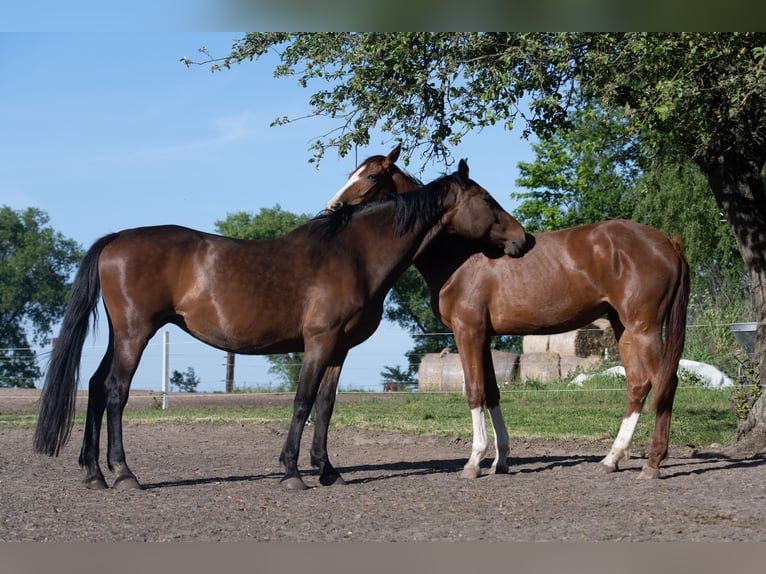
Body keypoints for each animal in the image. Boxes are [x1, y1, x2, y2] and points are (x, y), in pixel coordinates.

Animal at [34, 160, 528, 492]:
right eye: (487, 200)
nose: (523, 240)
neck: (353, 254)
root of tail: (116, 239)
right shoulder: (318, 342)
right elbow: (302, 401)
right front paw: (292, 471)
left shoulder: (339, 348)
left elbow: (325, 406)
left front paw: (327, 470)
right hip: (136, 334)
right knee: (115, 392)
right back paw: (125, 474)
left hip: (122, 336)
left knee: (95, 387)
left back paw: (94, 473)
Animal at [328, 145, 692, 482]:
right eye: (351, 174)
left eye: (371, 177)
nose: (333, 207)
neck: (460, 258)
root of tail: (668, 242)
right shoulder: (484, 336)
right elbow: (492, 391)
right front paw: (500, 460)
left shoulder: (468, 331)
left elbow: (474, 391)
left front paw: (474, 461)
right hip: (623, 328)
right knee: (639, 385)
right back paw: (612, 458)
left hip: (644, 328)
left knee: (665, 382)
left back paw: (652, 463)